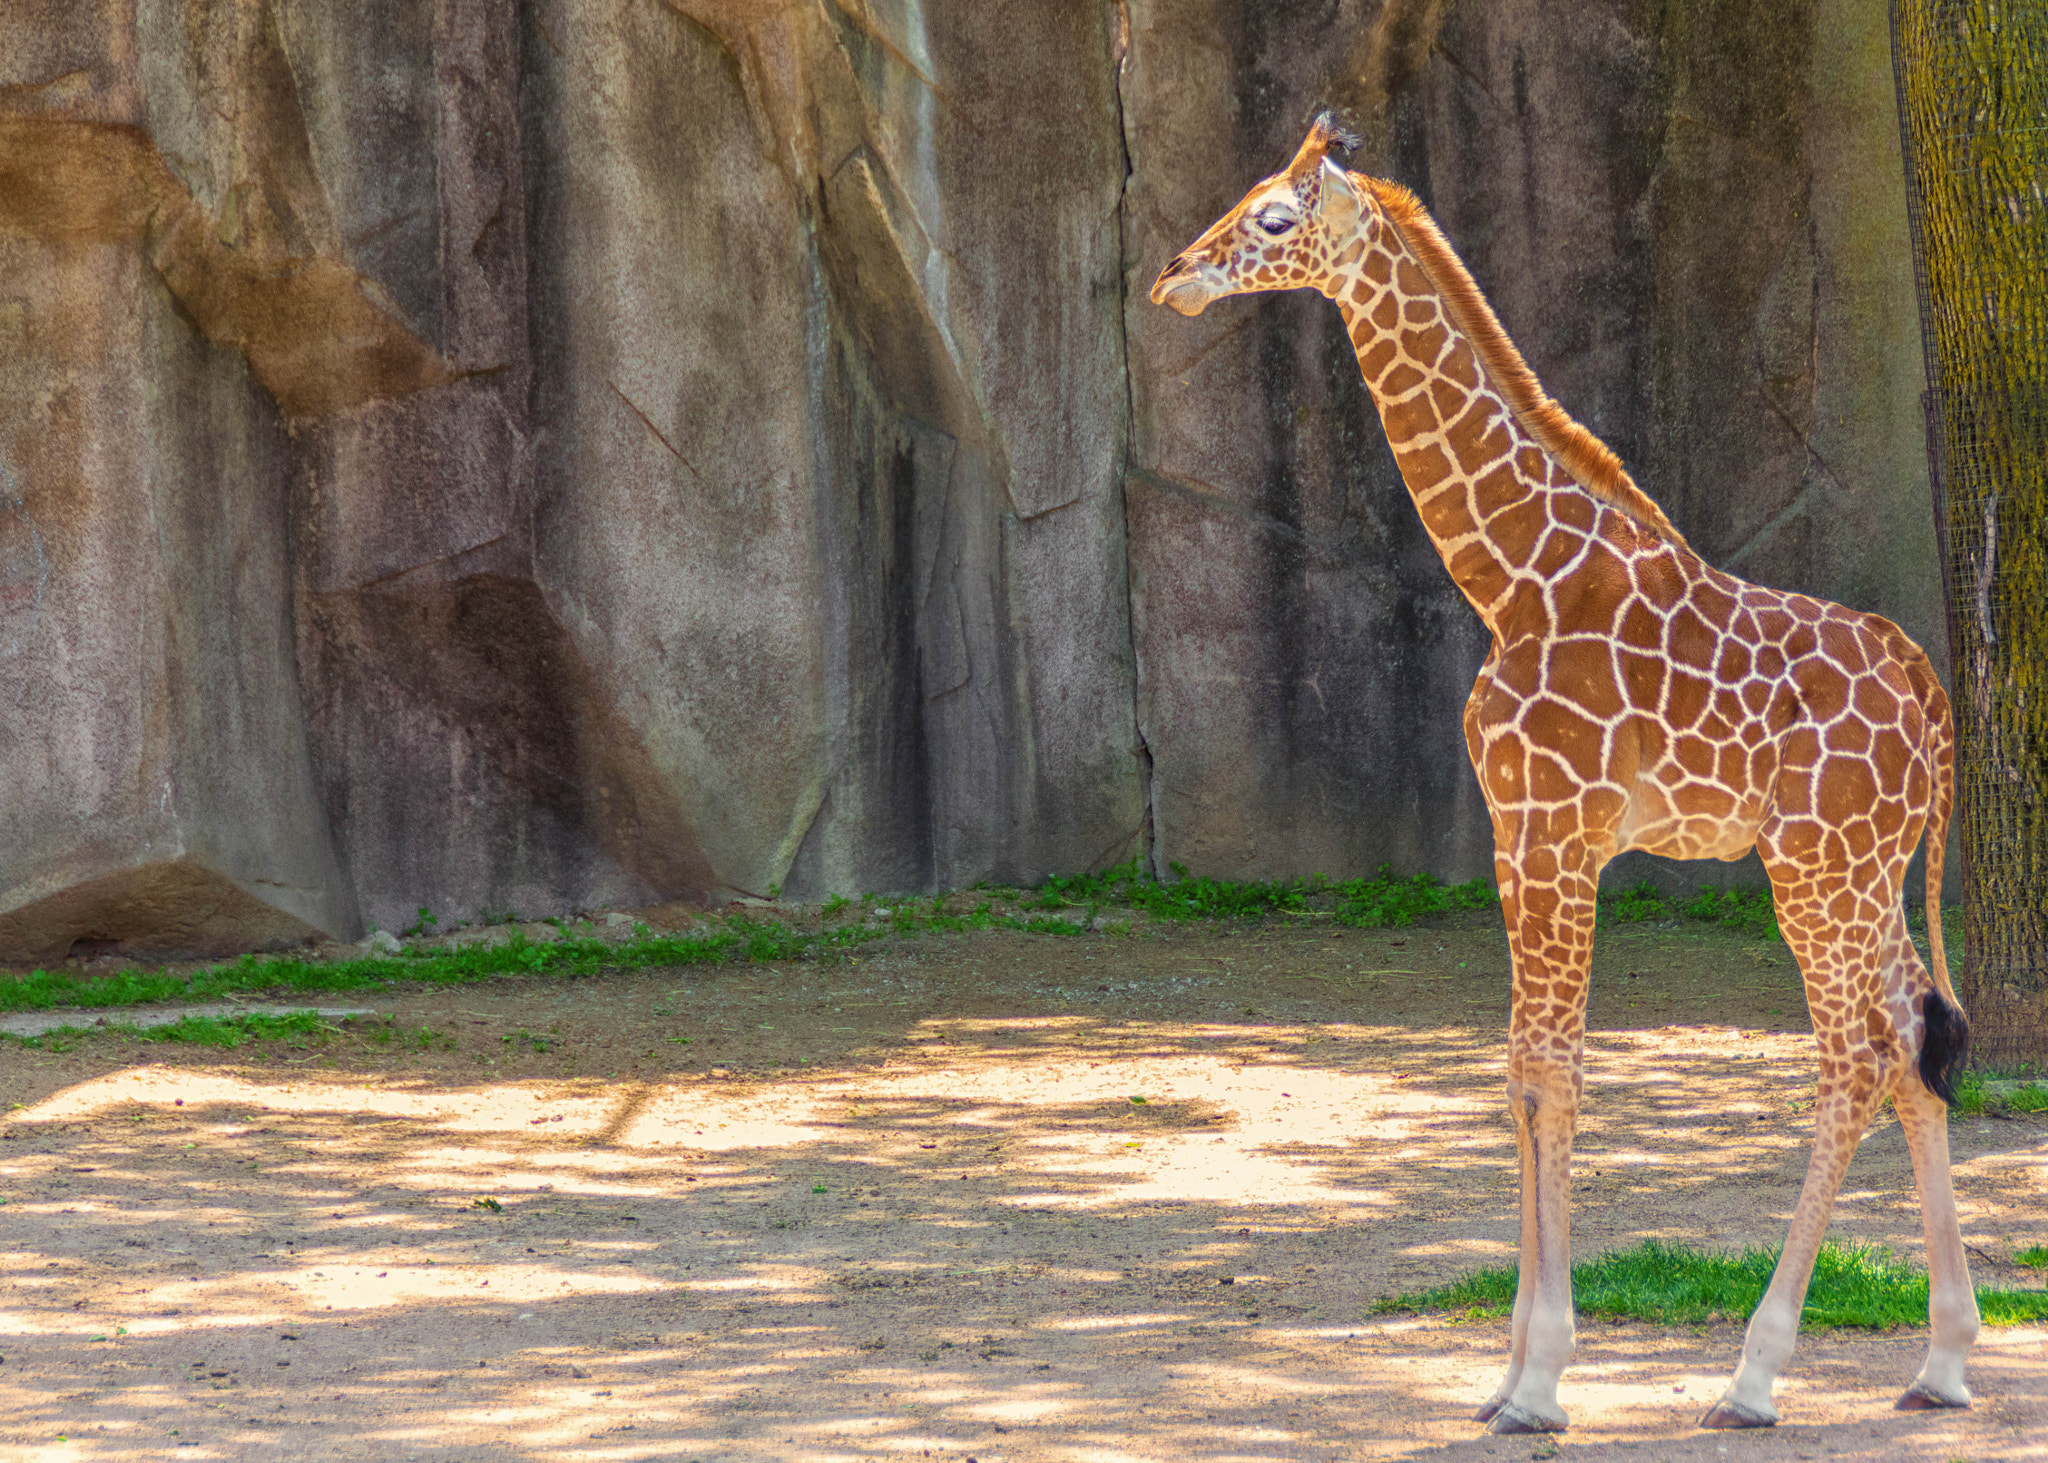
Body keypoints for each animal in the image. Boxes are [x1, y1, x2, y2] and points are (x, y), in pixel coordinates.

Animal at [1150, 115, 1976, 1435]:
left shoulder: (1558, 834)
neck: (1514, 573)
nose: (1173, 274)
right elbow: (1519, 1070)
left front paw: (1539, 1378)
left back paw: (1753, 1375)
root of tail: (1927, 688)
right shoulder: (1513, 836)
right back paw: (1940, 1360)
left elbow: (1554, 1072)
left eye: (1273, 218)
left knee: (1855, 1051)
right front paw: (1505, 1375)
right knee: (1911, 1037)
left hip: (1816, 865)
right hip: (1866, 865)